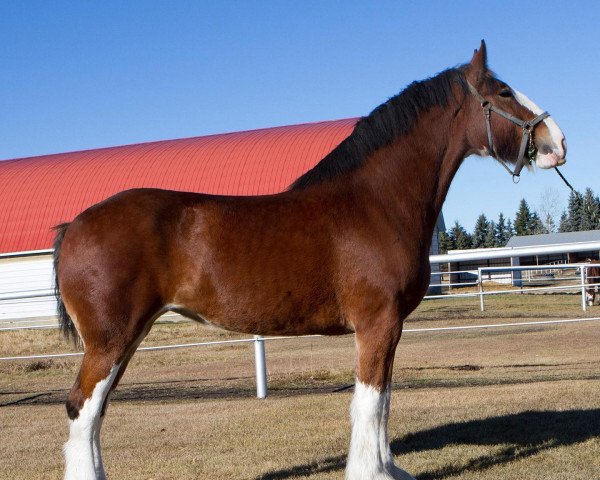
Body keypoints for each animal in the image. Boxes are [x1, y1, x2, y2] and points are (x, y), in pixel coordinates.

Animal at [54, 42, 564, 480]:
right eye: (503, 92)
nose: (557, 141)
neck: (375, 201)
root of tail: (73, 225)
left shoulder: (388, 326)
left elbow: (384, 400)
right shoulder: (378, 323)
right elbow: (370, 403)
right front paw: (372, 473)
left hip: (126, 338)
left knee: (95, 412)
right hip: (111, 340)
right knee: (82, 408)